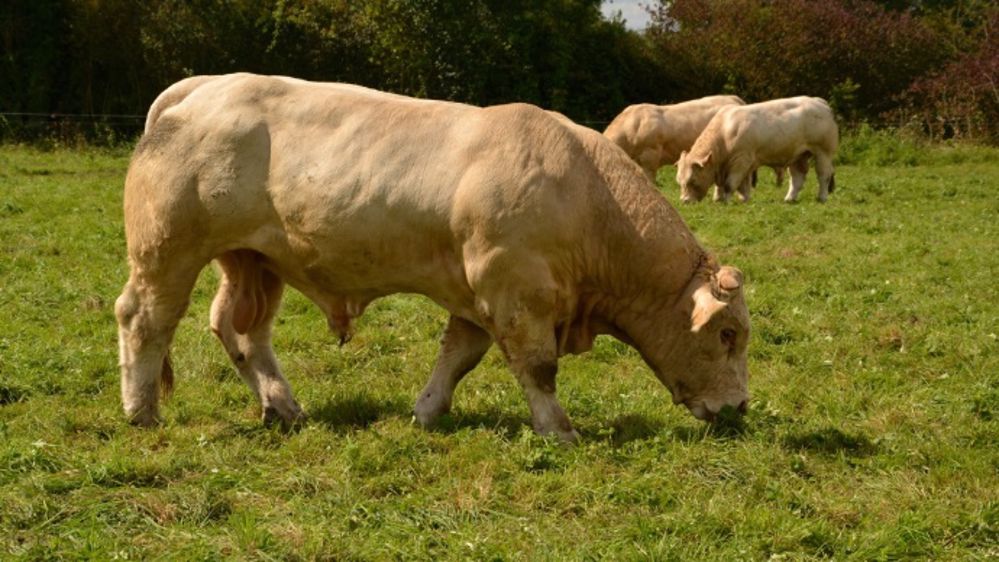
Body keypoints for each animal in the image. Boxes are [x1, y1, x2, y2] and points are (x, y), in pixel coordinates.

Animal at [116, 73, 751, 442]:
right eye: (726, 335)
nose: (741, 407)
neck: (586, 194)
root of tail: (202, 85)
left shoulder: (479, 293)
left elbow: (458, 357)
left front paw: (426, 411)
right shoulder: (514, 289)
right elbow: (538, 368)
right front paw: (559, 431)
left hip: (253, 259)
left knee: (240, 331)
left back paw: (283, 407)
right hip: (166, 249)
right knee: (144, 319)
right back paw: (141, 411)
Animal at [676, 96, 839, 203]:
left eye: (692, 180)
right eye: (680, 181)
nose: (684, 200)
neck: (724, 133)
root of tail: (819, 101)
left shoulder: (741, 161)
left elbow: (730, 184)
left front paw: (727, 201)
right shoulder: (746, 164)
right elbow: (744, 185)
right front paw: (744, 199)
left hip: (823, 153)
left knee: (823, 175)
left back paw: (822, 197)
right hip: (798, 156)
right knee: (797, 177)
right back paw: (789, 199)